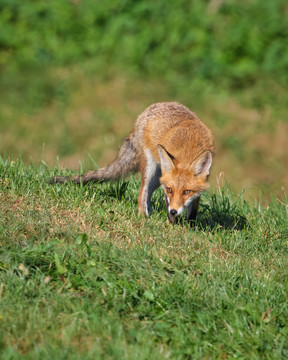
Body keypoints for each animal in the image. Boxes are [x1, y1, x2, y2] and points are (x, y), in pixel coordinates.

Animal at [50, 102, 215, 222]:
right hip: (151, 169)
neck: (188, 148)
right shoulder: (165, 185)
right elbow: (165, 202)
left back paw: (151, 213)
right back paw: (144, 217)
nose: (173, 211)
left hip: (157, 176)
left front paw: (189, 226)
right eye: (170, 190)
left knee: (147, 194)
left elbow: (193, 210)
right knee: (142, 193)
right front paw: (174, 224)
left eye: (187, 191)